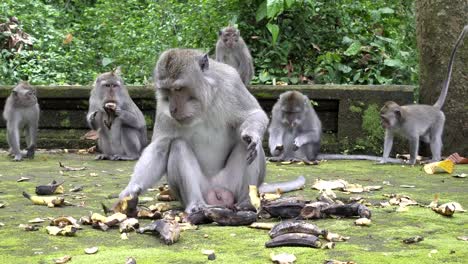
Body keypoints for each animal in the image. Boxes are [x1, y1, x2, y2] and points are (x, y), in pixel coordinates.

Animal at [119, 48, 268, 212]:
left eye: (178, 89)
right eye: (167, 91)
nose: (172, 109)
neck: (203, 106)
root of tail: (217, 191)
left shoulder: (232, 83)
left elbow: (254, 114)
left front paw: (252, 135)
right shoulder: (161, 104)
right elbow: (159, 147)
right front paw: (131, 191)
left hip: (231, 185)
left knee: (246, 145)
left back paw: (246, 203)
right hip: (202, 189)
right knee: (178, 146)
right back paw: (196, 204)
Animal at [378, 25, 466, 165]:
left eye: (384, 118)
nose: (382, 124)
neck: (399, 122)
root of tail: (433, 108)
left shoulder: (409, 126)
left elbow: (414, 139)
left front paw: (412, 161)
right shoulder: (391, 128)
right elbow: (389, 140)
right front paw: (383, 159)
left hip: (439, 120)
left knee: (434, 138)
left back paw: (435, 159)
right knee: (427, 138)